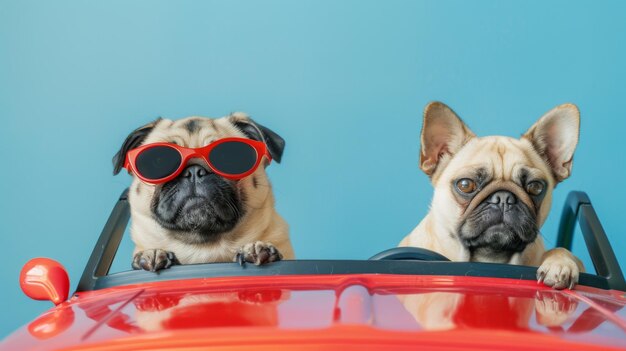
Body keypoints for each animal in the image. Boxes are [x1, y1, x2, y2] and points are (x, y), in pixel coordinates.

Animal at [112, 113, 294, 272]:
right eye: (159, 161)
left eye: (230, 157)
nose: (194, 171)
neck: (202, 248)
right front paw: (154, 253)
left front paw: (256, 248)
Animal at [400, 102, 584, 288]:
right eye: (465, 185)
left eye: (535, 187)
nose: (504, 198)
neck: (490, 258)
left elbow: (562, 250)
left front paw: (560, 263)